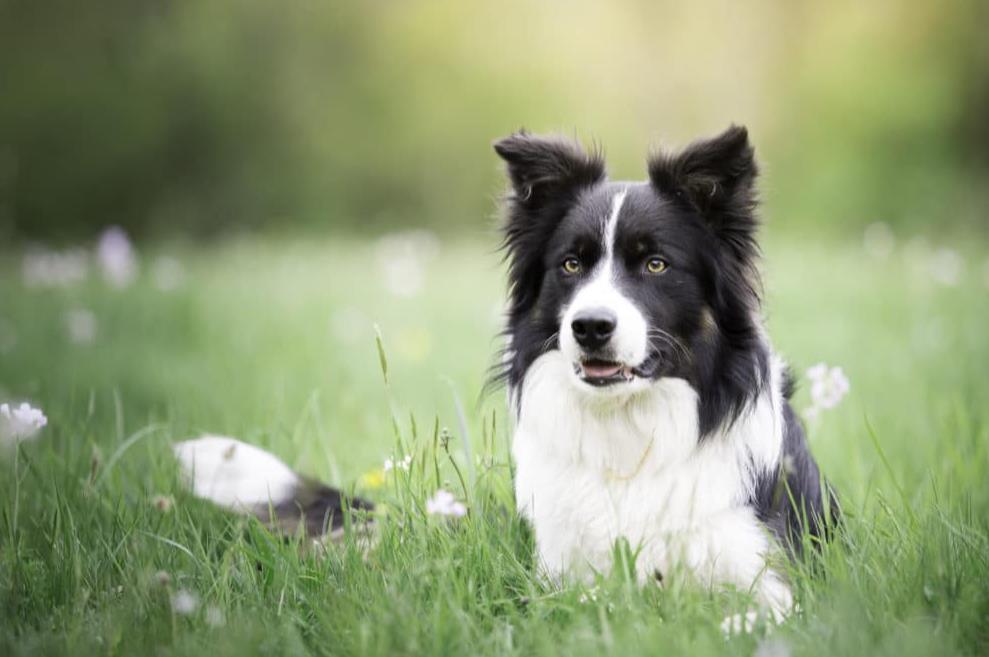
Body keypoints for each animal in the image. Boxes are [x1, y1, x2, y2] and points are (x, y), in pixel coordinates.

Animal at [494, 127, 832, 620]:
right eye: (571, 264)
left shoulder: (774, 581)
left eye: (656, 264)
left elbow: (738, 618)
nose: (590, 326)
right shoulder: (558, 573)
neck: (629, 430)